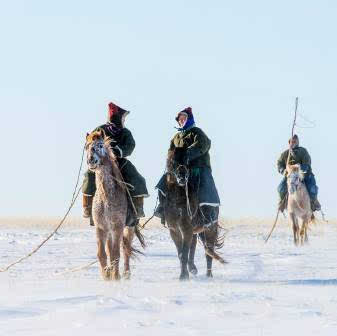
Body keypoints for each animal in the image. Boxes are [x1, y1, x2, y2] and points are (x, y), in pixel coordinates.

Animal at [84, 130, 144, 280]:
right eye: (86, 146)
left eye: (100, 145)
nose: (91, 160)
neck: (106, 196)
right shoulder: (101, 228)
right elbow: (102, 254)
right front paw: (106, 276)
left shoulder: (117, 227)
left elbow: (116, 254)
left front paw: (115, 277)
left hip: (129, 226)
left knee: (126, 248)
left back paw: (126, 274)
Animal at [161, 147, 224, 280]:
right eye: (173, 161)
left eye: (186, 160)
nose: (182, 178)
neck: (178, 200)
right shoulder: (174, 230)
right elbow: (181, 254)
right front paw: (185, 274)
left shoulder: (186, 229)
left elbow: (184, 253)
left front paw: (183, 276)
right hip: (195, 231)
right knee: (195, 245)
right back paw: (193, 268)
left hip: (209, 229)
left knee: (209, 250)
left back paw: (208, 274)